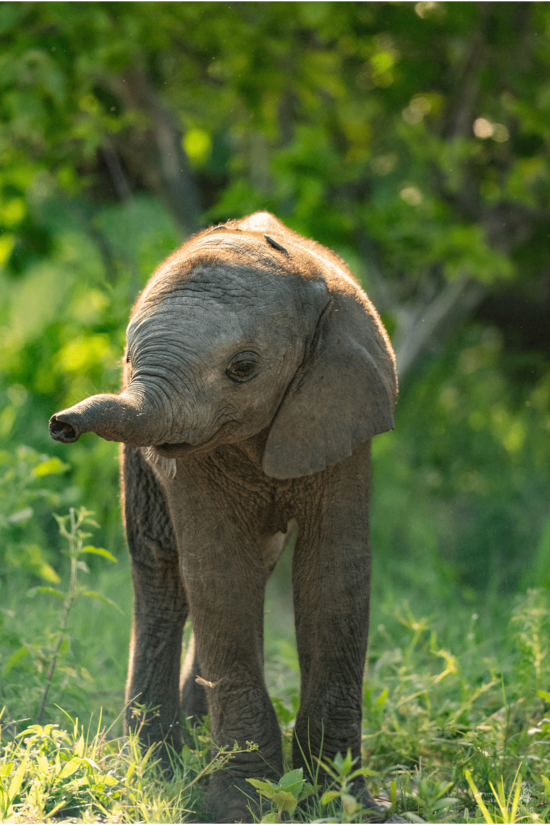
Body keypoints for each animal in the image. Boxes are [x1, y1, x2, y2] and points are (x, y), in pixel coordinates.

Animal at [50, 211, 396, 816]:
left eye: (243, 368)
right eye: (128, 361)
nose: (61, 425)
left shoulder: (345, 417)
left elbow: (334, 575)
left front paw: (343, 804)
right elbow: (221, 578)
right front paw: (242, 807)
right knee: (164, 575)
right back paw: (162, 772)